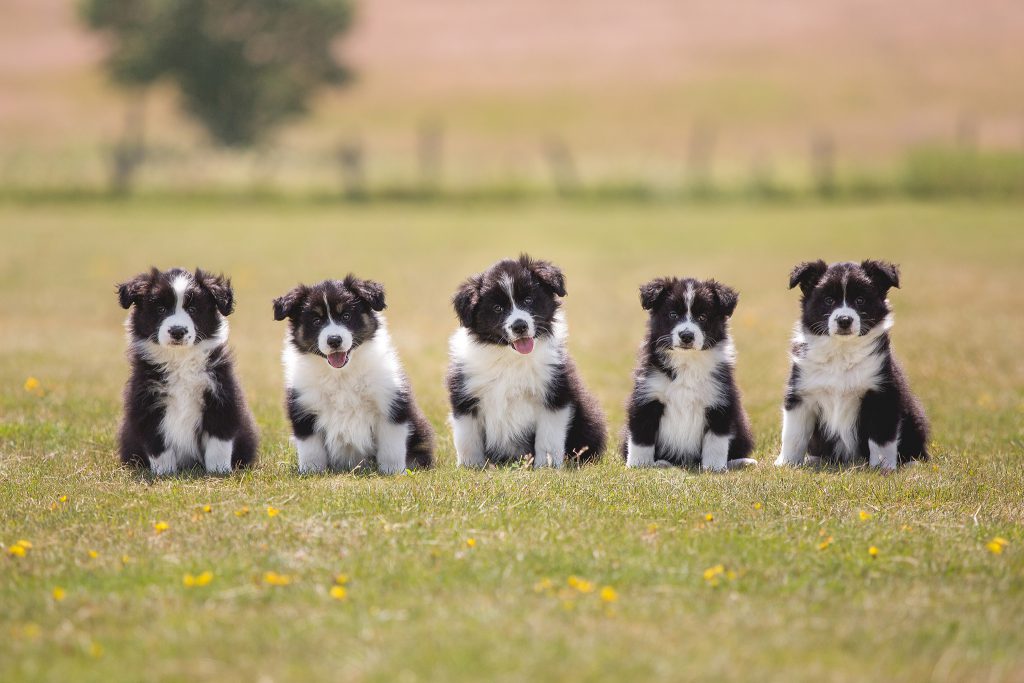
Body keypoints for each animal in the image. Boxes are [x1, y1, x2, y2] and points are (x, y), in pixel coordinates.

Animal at [116, 266, 258, 475]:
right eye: (161, 309)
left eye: (192, 309)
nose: (177, 331)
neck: (180, 359)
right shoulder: (147, 404)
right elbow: (158, 445)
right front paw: (164, 473)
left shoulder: (222, 397)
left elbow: (219, 443)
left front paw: (219, 471)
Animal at [272, 274, 432, 473]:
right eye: (316, 321)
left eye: (346, 316)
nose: (334, 340)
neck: (341, 374)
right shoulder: (304, 410)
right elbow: (311, 451)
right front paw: (311, 473)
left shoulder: (390, 405)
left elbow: (391, 448)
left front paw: (393, 472)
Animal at [444, 253, 602, 466]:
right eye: (497, 308)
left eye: (528, 300)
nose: (520, 326)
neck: (510, 358)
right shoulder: (465, 397)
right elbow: (467, 439)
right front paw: (471, 467)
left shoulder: (554, 394)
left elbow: (548, 438)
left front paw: (546, 466)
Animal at [618, 278, 757, 471]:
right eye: (673, 315)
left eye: (702, 317)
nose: (686, 335)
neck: (687, 361)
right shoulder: (646, 397)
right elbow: (641, 437)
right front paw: (639, 465)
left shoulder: (720, 401)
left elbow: (716, 441)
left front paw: (714, 469)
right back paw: (661, 463)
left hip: (742, 427)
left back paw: (741, 462)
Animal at [774, 259, 929, 473]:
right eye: (829, 300)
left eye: (860, 300)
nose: (844, 320)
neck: (842, 351)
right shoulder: (801, 395)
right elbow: (793, 435)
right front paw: (786, 464)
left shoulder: (882, 395)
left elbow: (881, 439)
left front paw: (882, 468)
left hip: (915, 416)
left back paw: (911, 462)